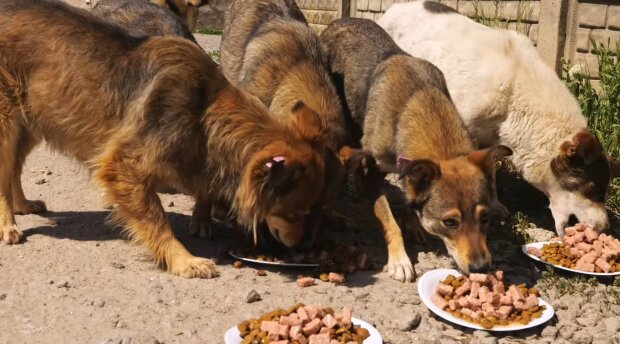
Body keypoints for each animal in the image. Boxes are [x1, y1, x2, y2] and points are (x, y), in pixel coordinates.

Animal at [0, 0, 326, 278]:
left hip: (34, 120)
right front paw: (184, 259)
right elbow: (157, 220)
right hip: (8, 122)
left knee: (13, 168)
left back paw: (23, 205)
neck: (204, 110)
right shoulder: (123, 167)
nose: (303, 247)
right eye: (295, 213)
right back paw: (9, 225)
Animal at [320, 18, 512, 280]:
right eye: (449, 222)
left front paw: (412, 225)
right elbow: (389, 221)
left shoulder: (408, 168)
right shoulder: (374, 172)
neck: (417, 101)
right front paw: (399, 260)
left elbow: (409, 199)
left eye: (485, 218)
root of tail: (340, 21)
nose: (481, 268)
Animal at [378, 0, 620, 235]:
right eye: (595, 191)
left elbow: (490, 173)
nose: (605, 229)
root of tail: (396, 8)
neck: (515, 95)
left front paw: (493, 205)